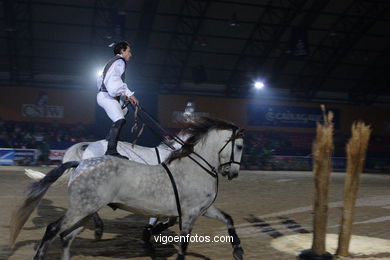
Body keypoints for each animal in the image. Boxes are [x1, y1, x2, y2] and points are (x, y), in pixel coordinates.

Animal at [10, 118, 244, 260]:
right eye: (240, 146)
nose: (233, 173)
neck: (195, 166)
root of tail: (81, 163)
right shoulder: (188, 214)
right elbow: (182, 245)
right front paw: (149, 238)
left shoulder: (202, 209)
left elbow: (229, 219)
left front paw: (239, 250)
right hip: (81, 209)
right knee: (53, 230)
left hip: (85, 212)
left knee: (66, 236)